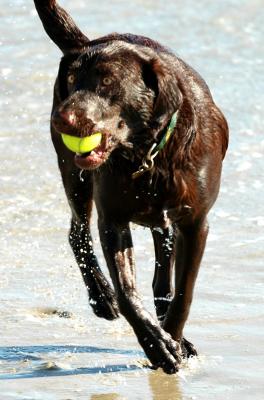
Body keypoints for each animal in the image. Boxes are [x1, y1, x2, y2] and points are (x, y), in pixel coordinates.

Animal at [32, 0, 227, 376]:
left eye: (108, 80)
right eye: (72, 80)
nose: (61, 118)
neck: (147, 153)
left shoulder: (195, 224)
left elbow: (183, 293)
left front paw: (173, 339)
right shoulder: (113, 221)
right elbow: (126, 292)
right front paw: (156, 345)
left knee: (163, 276)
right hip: (73, 176)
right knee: (77, 232)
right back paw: (100, 295)